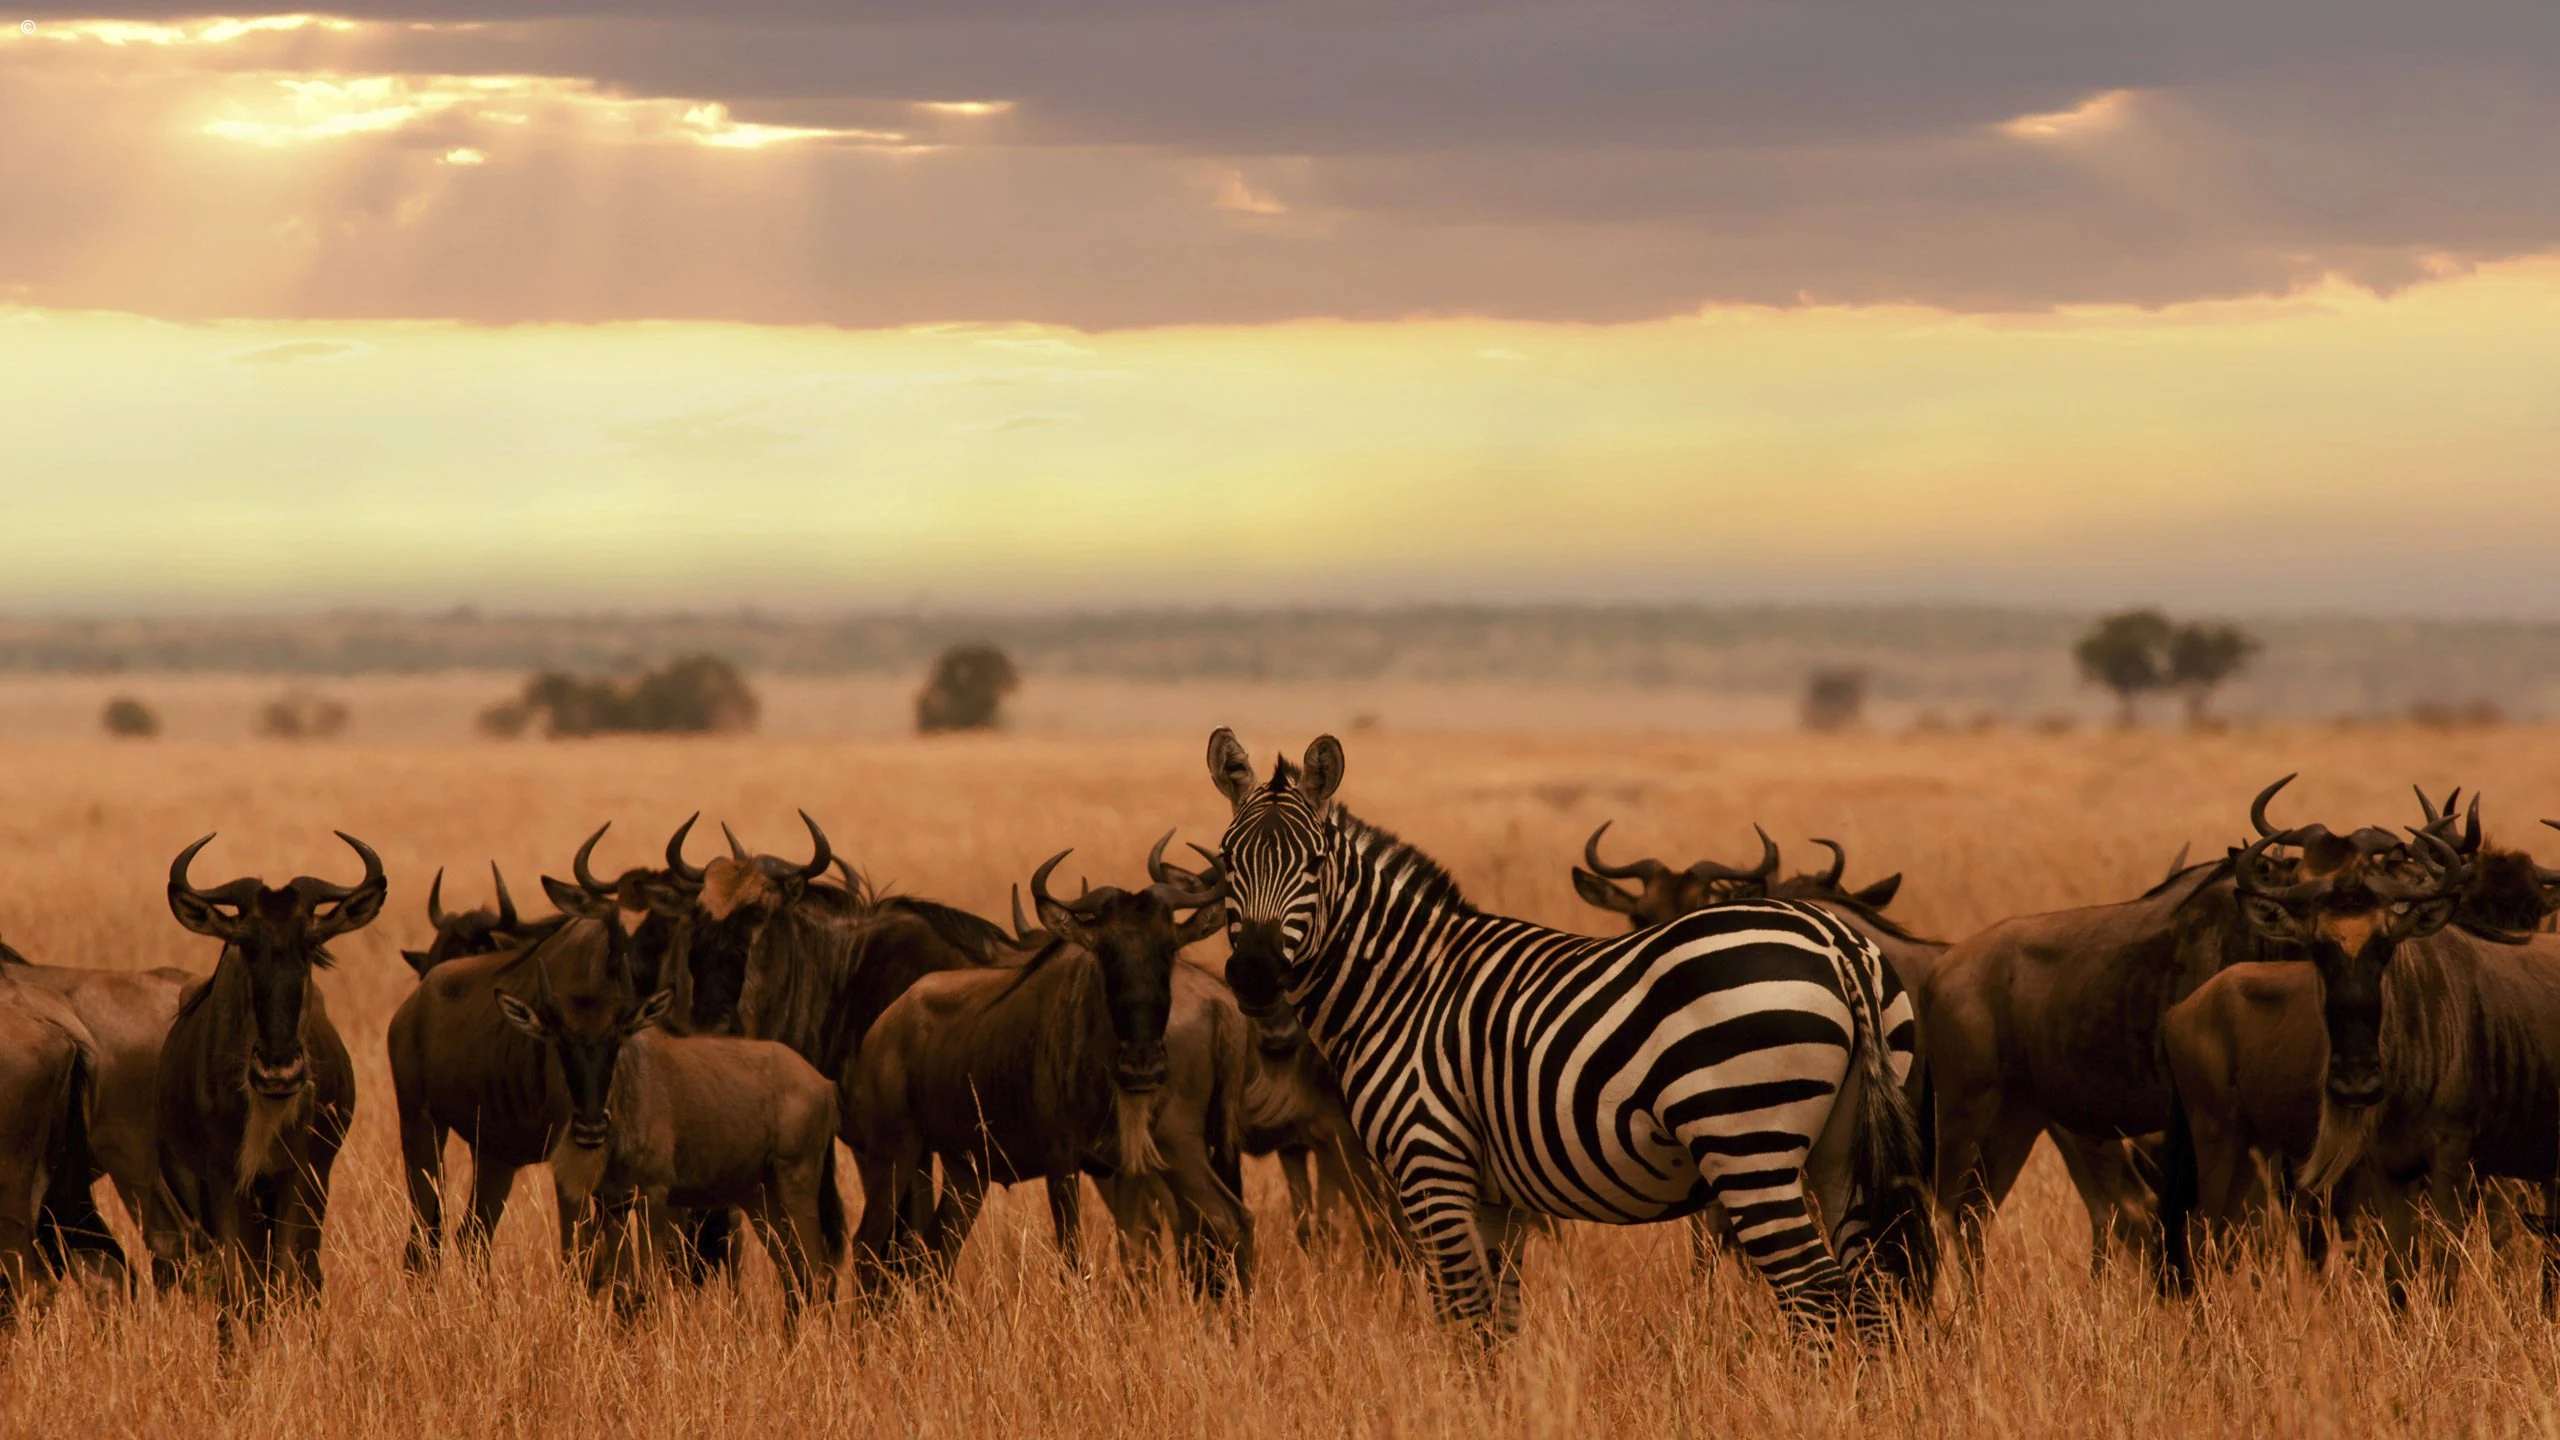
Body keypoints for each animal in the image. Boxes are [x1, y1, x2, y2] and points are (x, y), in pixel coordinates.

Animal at [1204, 728, 1934, 1335]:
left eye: (1313, 862)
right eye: (1225, 860)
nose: (1255, 974)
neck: (1403, 983)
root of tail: (1836, 940)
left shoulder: (1431, 1161)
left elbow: (1460, 1314)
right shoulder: (1493, 1192)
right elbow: (1496, 1318)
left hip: (1748, 1144)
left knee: (1816, 1292)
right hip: (1840, 1149)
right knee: (1869, 1290)